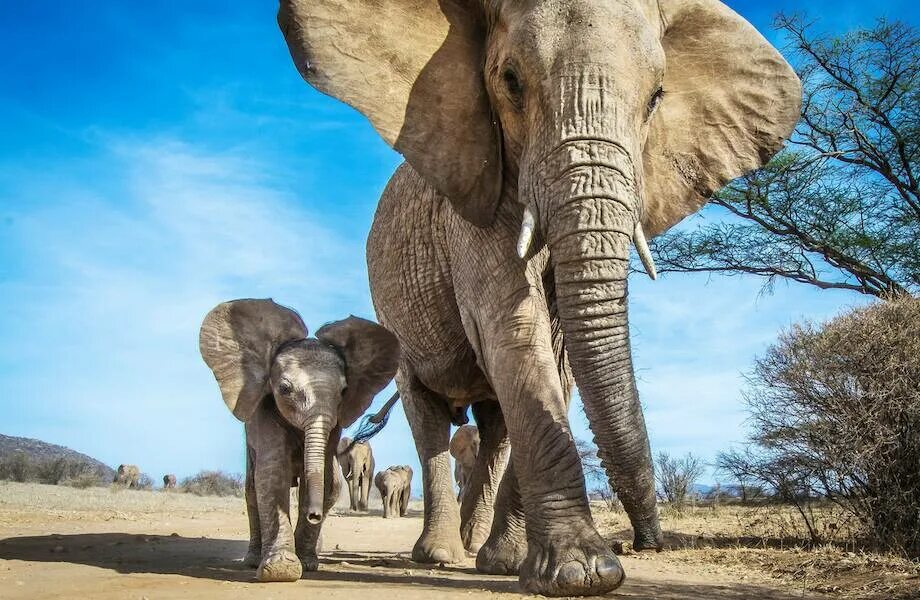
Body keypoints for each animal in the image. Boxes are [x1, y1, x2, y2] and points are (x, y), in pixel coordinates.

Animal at [198, 300, 398, 580]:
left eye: (344, 391)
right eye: (284, 389)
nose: (314, 515)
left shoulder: (336, 424)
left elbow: (327, 480)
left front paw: (307, 563)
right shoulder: (264, 410)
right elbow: (272, 475)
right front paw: (281, 570)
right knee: (251, 488)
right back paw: (253, 560)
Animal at [278, 0, 796, 592]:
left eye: (656, 97)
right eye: (511, 81)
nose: (644, 541)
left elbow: (559, 354)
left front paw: (539, 568)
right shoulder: (474, 202)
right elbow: (515, 330)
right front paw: (583, 574)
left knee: (496, 426)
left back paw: (488, 555)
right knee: (426, 416)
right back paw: (440, 556)